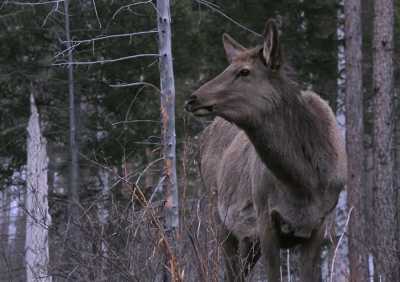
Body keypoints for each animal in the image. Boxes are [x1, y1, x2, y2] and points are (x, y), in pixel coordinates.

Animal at [186, 19, 346, 282]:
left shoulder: (319, 224)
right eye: (229, 67)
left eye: (244, 71)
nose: (192, 98)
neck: (302, 184)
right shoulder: (264, 219)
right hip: (219, 217)